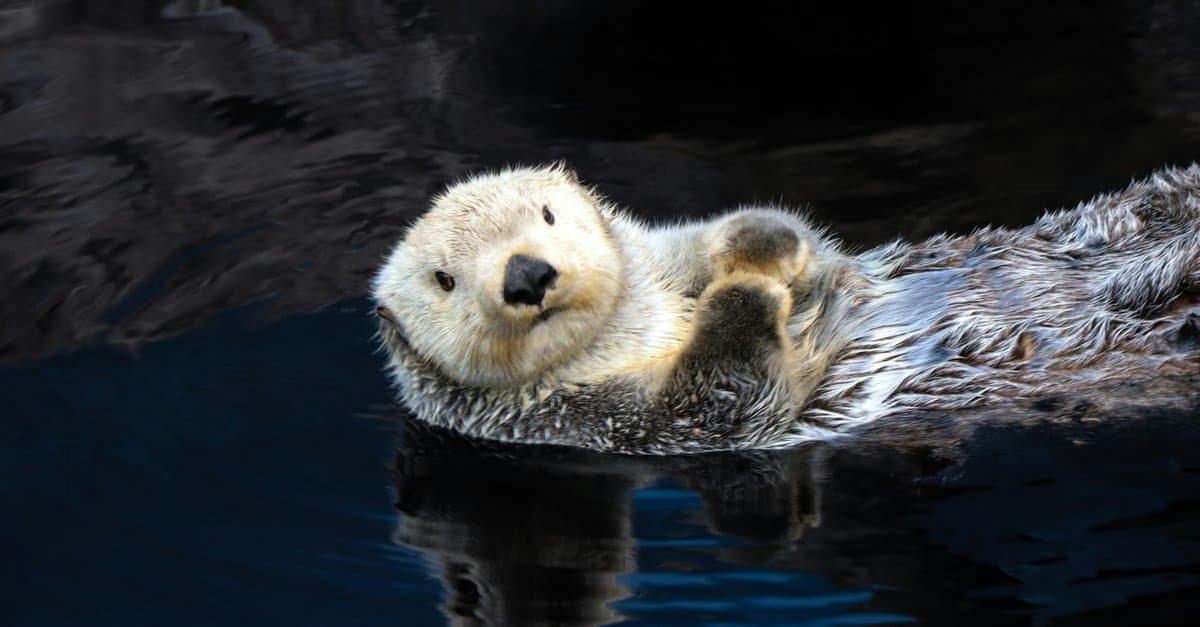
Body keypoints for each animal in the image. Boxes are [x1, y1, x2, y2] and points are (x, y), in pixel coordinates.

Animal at [373, 164, 1200, 454]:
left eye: (546, 214)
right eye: (445, 279)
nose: (527, 274)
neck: (634, 328)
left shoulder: (666, 255)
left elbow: (782, 240)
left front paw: (755, 248)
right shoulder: (593, 423)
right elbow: (723, 401)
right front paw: (745, 294)